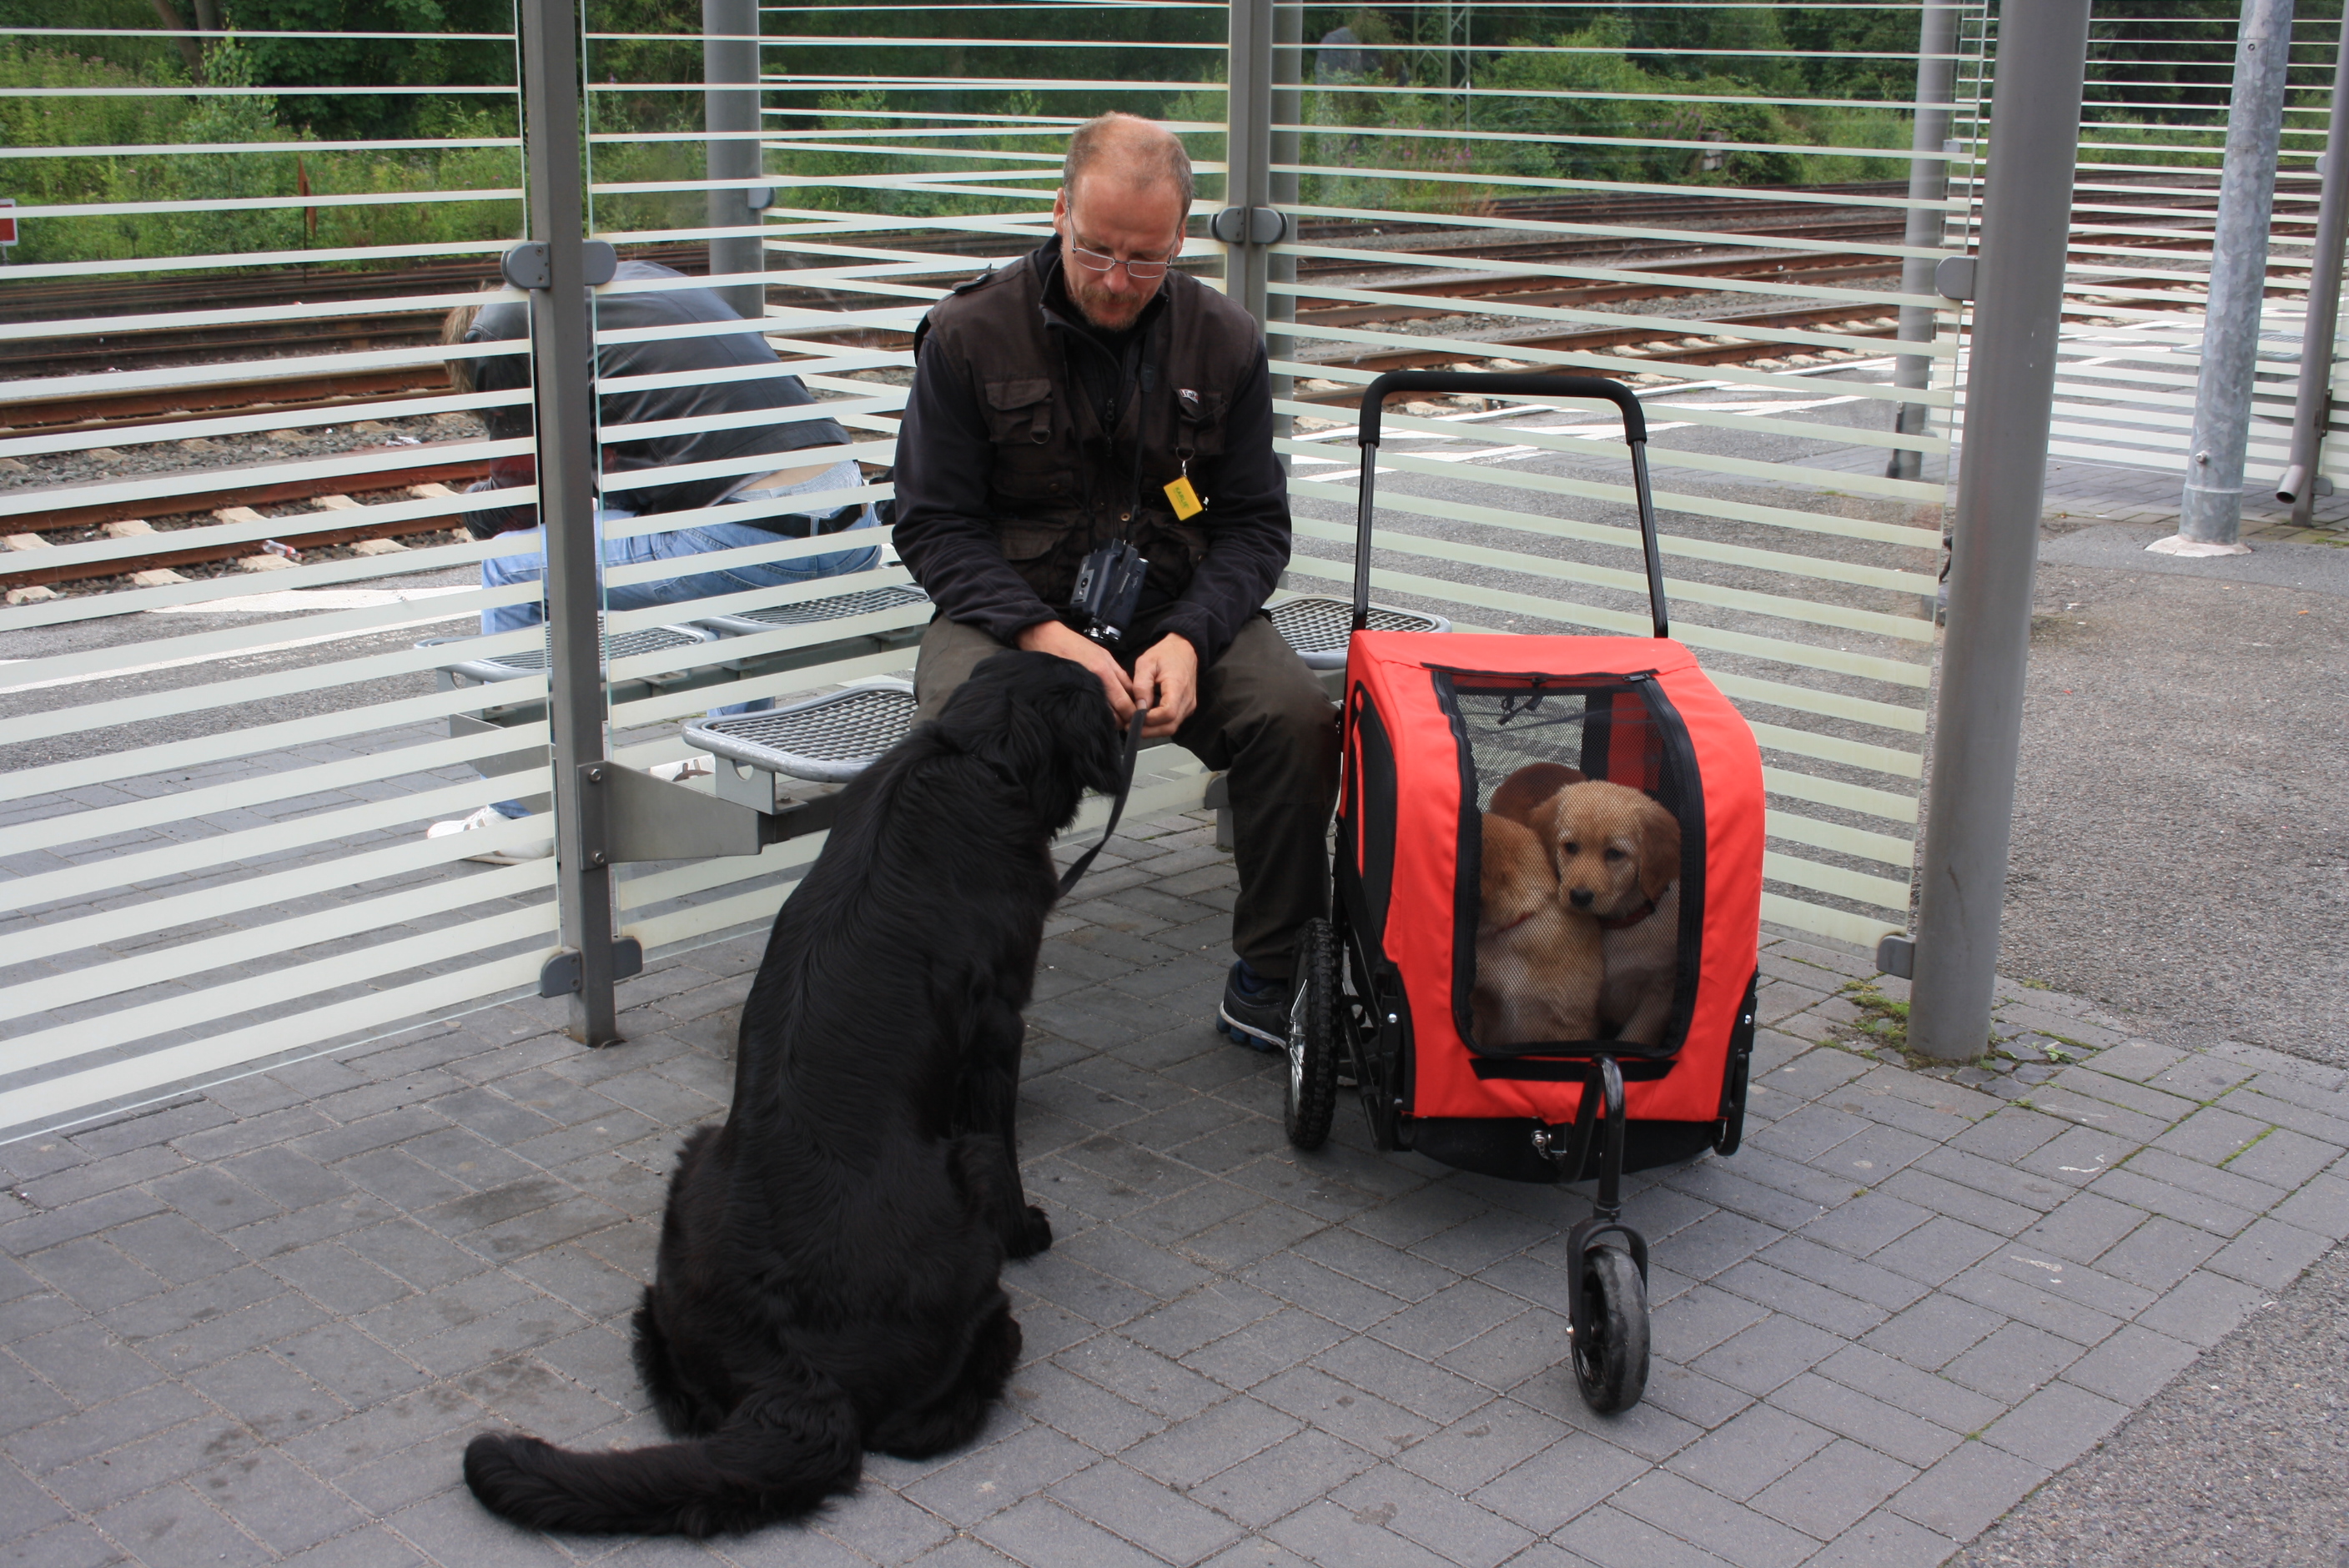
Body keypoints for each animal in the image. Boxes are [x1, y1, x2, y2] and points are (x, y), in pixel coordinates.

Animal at [461, 652, 1125, 1537]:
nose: (1133, 711)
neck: (971, 754)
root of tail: (793, 1376)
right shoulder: (998, 1028)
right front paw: (1030, 1231)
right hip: (967, 1177)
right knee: (936, 1408)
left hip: (693, 1168)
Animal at [1539, 779, 1682, 1048]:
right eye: (1570, 847)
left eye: (1614, 853)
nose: (1579, 896)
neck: (1616, 923)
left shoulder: (1660, 993)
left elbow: (1635, 1037)